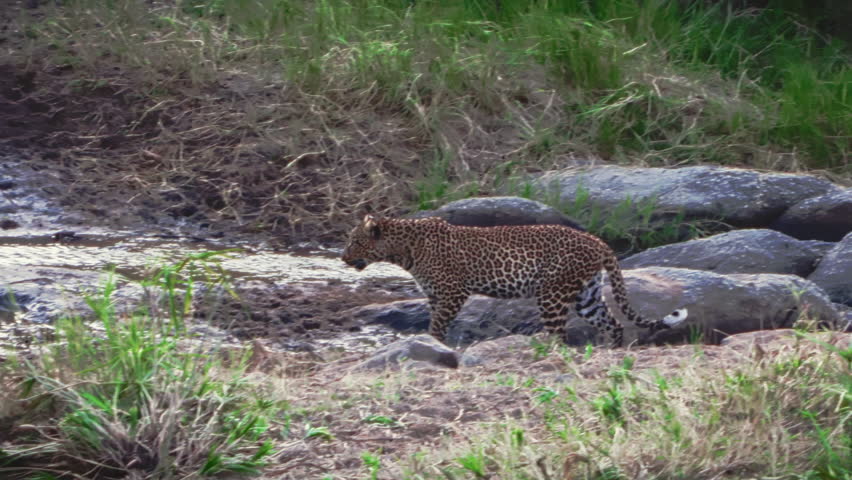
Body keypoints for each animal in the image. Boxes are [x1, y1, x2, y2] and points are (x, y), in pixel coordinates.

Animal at [342, 215, 687, 346]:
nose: (342, 258)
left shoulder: (452, 293)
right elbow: (435, 322)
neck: (403, 249)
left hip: (553, 292)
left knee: (560, 334)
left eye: (355, 241)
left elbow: (436, 325)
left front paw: (434, 344)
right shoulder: (435, 296)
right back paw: (608, 352)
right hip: (586, 295)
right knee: (612, 323)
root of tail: (598, 241)